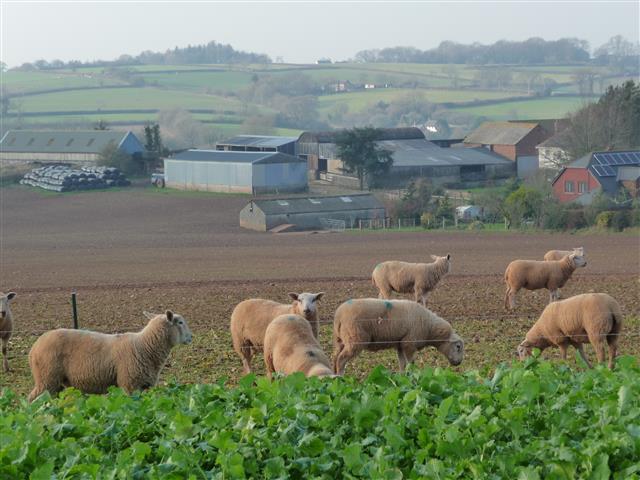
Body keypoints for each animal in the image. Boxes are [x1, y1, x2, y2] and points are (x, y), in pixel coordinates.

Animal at [27, 312, 191, 402]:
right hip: (46, 378)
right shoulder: (129, 385)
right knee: (33, 400)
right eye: (180, 322)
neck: (144, 346)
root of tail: (33, 348)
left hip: (56, 383)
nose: (191, 337)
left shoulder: (145, 387)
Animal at [332, 300, 462, 376]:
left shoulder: (400, 344)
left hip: (340, 340)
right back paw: (340, 378)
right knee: (341, 359)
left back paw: (333, 376)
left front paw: (402, 378)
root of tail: (339, 315)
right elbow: (411, 363)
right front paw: (413, 376)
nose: (459, 363)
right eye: (458, 346)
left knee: (335, 357)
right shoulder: (409, 343)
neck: (430, 328)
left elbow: (402, 364)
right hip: (355, 339)